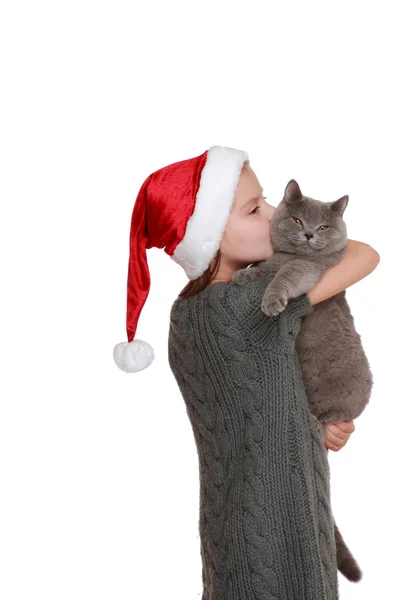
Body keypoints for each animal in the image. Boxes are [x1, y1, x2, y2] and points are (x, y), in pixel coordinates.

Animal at [230, 178, 374, 580]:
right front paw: (244, 273)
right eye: (296, 219)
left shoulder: (308, 270)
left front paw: (270, 301)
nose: (309, 233)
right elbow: (264, 265)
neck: (289, 252)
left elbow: (285, 274)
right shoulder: (275, 258)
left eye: (324, 226)